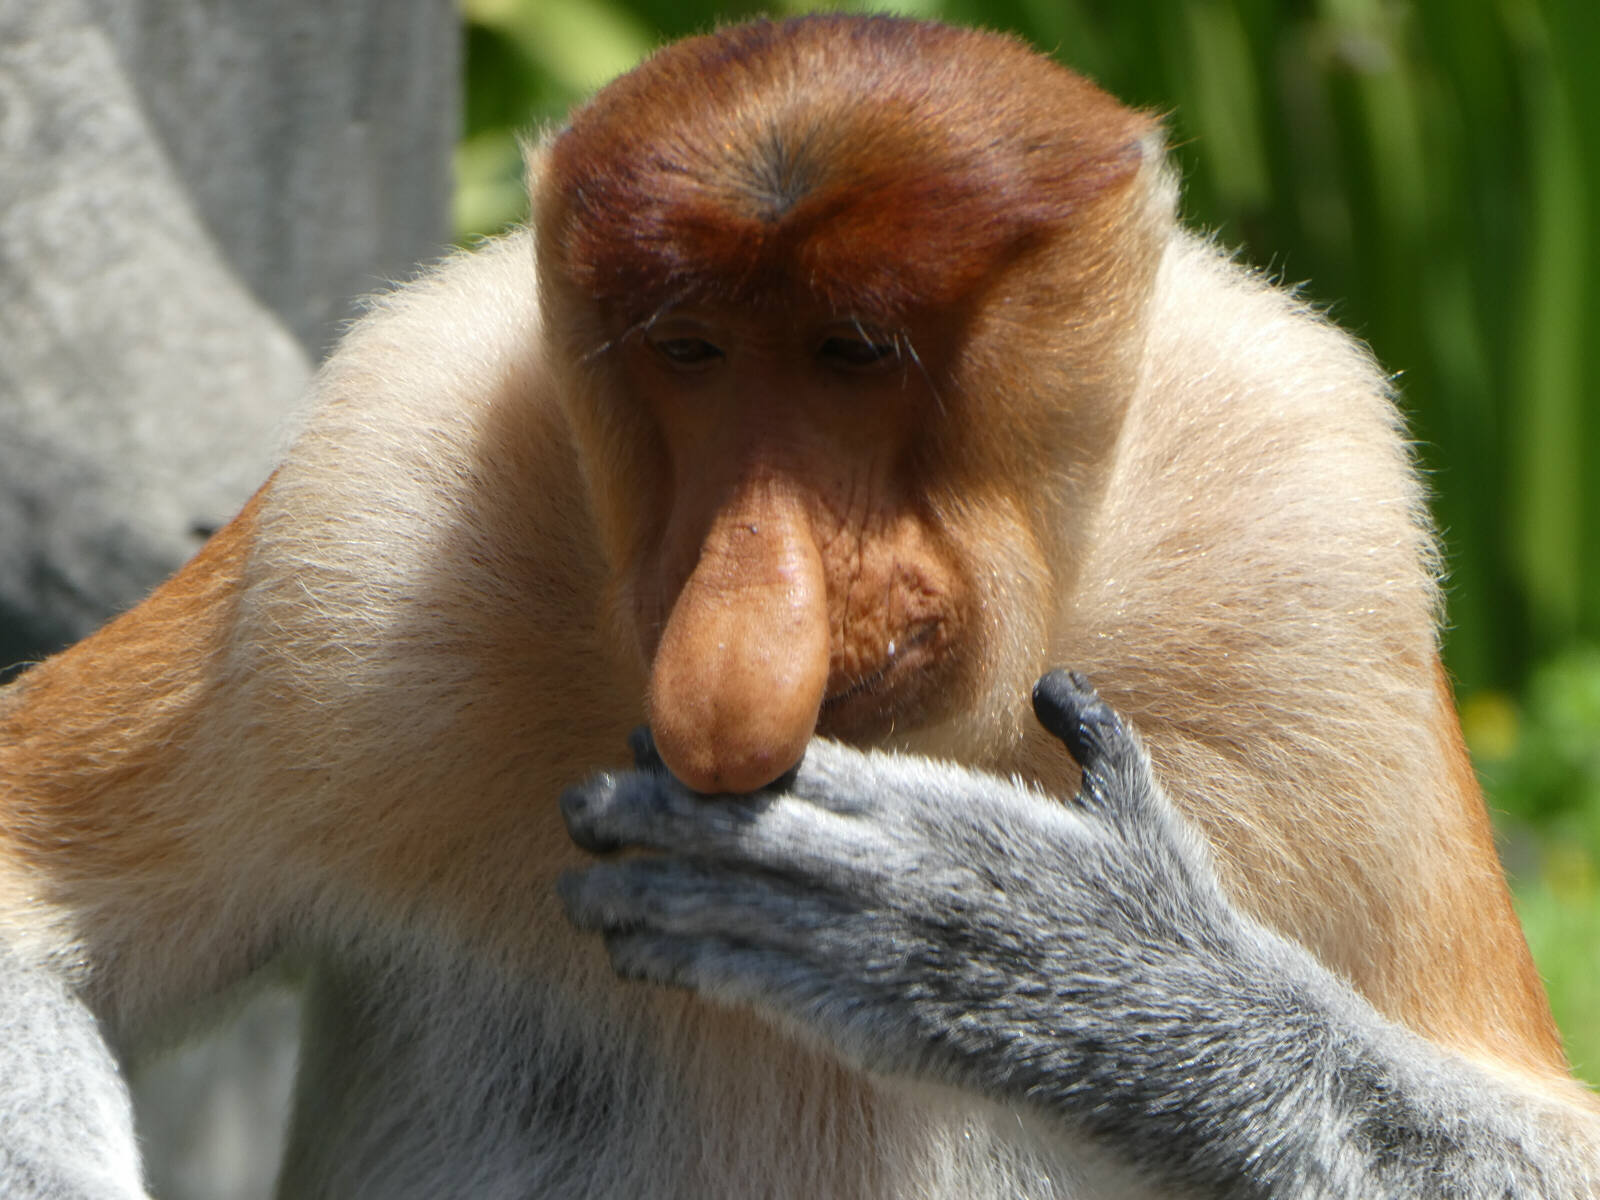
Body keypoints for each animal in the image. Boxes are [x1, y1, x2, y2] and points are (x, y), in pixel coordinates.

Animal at [3, 11, 1600, 1200]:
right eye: (692, 350)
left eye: (855, 351)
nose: (747, 620)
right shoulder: (360, 521)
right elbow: (31, 902)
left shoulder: (1317, 546)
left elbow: (1547, 1136)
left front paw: (1008, 938)